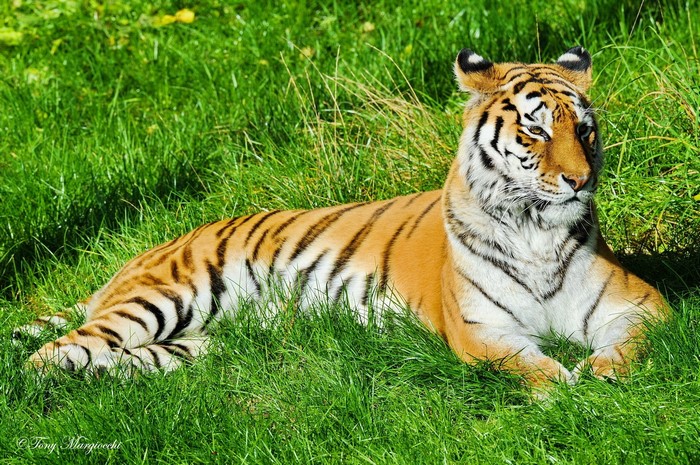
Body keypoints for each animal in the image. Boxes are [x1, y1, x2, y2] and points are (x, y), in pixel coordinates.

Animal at [14, 46, 668, 395]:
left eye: (584, 129)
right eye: (535, 130)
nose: (579, 180)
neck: (537, 232)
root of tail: (141, 255)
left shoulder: (638, 304)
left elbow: (628, 347)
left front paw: (599, 376)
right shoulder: (482, 330)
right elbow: (533, 367)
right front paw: (564, 388)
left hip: (192, 346)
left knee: (112, 359)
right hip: (162, 296)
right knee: (48, 354)